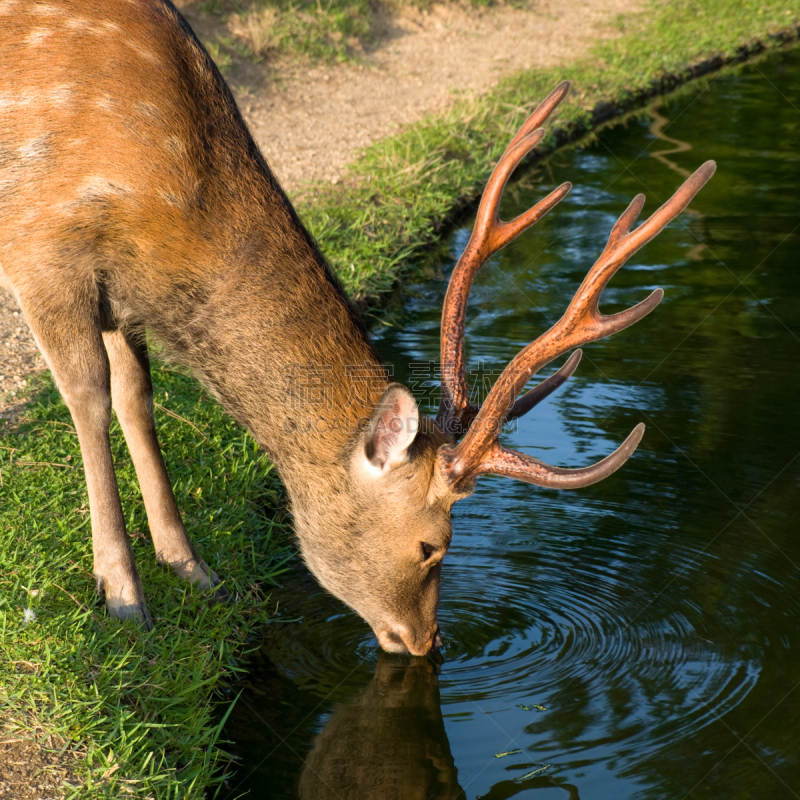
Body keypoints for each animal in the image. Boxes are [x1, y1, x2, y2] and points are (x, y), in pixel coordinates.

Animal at [0, 0, 712, 656]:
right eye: (431, 546)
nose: (424, 642)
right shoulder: (41, 245)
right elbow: (89, 398)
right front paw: (123, 598)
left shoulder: (121, 298)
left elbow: (136, 400)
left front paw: (194, 569)